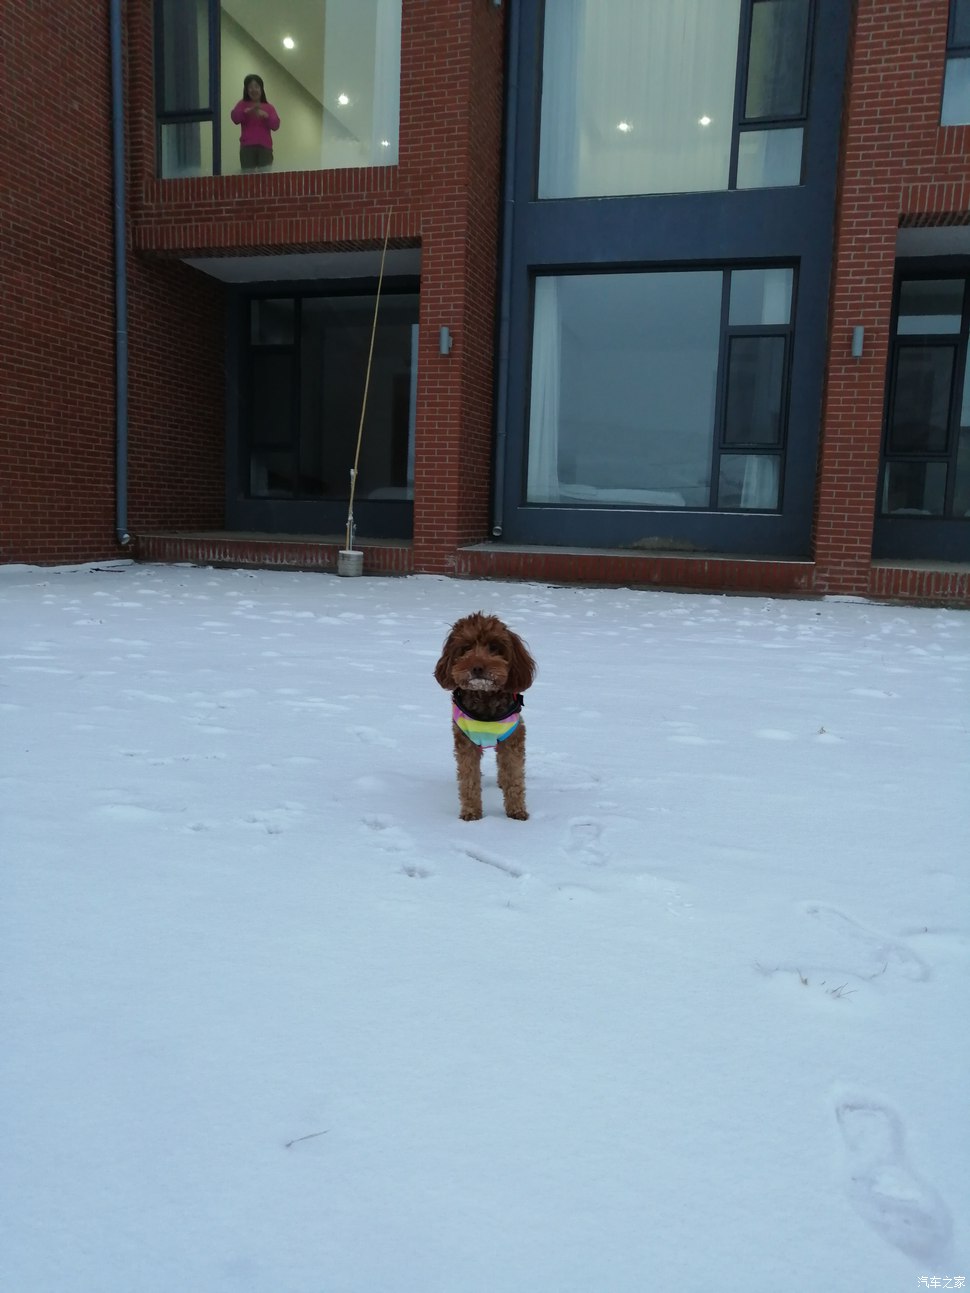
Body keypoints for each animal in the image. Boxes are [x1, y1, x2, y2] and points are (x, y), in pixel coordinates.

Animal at [434, 612, 540, 817]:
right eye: (466, 647)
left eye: (494, 647)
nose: (477, 667)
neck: (485, 697)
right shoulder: (465, 742)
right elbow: (469, 780)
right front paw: (471, 813)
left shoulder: (512, 740)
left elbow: (514, 776)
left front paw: (517, 811)